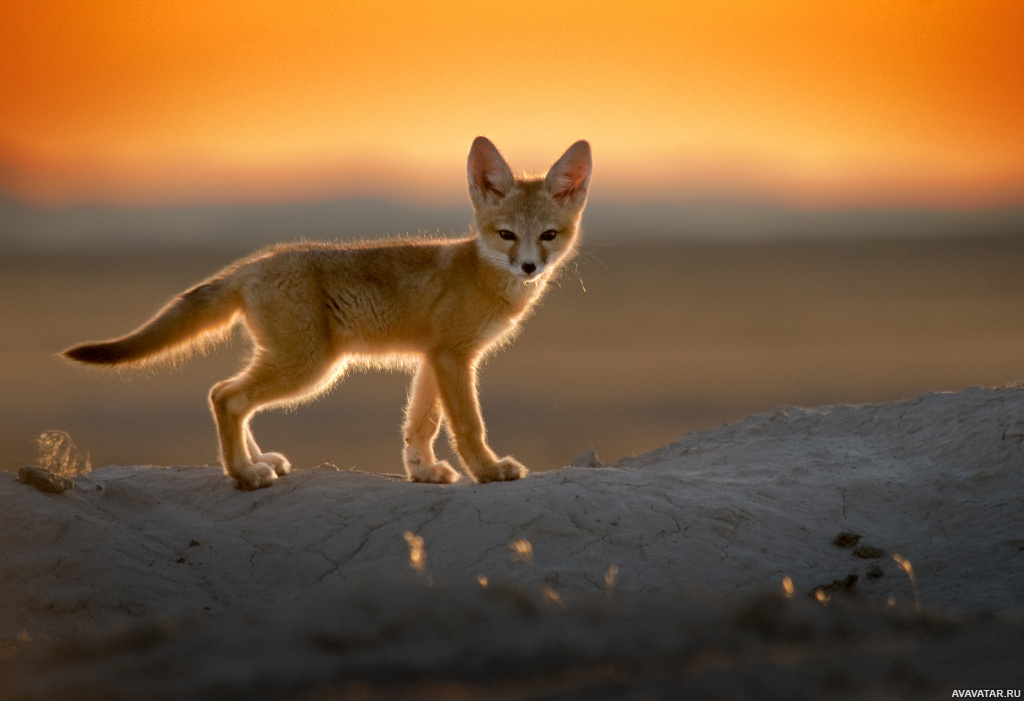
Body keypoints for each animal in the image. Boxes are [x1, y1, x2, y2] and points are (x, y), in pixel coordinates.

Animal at [61, 137, 593, 487]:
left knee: (224, 393)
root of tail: (253, 264)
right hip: (310, 367)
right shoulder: (453, 358)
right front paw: (487, 470)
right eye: (506, 235)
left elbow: (419, 425)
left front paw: (422, 471)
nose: (528, 266)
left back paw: (258, 462)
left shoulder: (432, 357)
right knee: (226, 397)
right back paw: (245, 474)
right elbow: (467, 425)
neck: (481, 273)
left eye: (548, 236)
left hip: (294, 363)